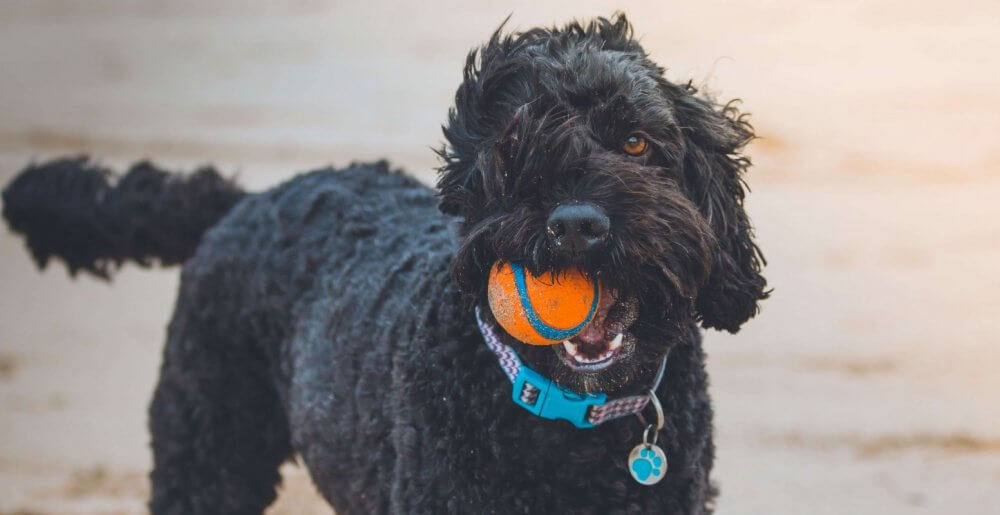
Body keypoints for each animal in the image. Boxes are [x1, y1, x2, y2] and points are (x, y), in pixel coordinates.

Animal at [1, 15, 764, 515]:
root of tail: (248, 199)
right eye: (514, 151)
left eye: (636, 142)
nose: (577, 224)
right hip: (207, 449)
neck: (568, 420)